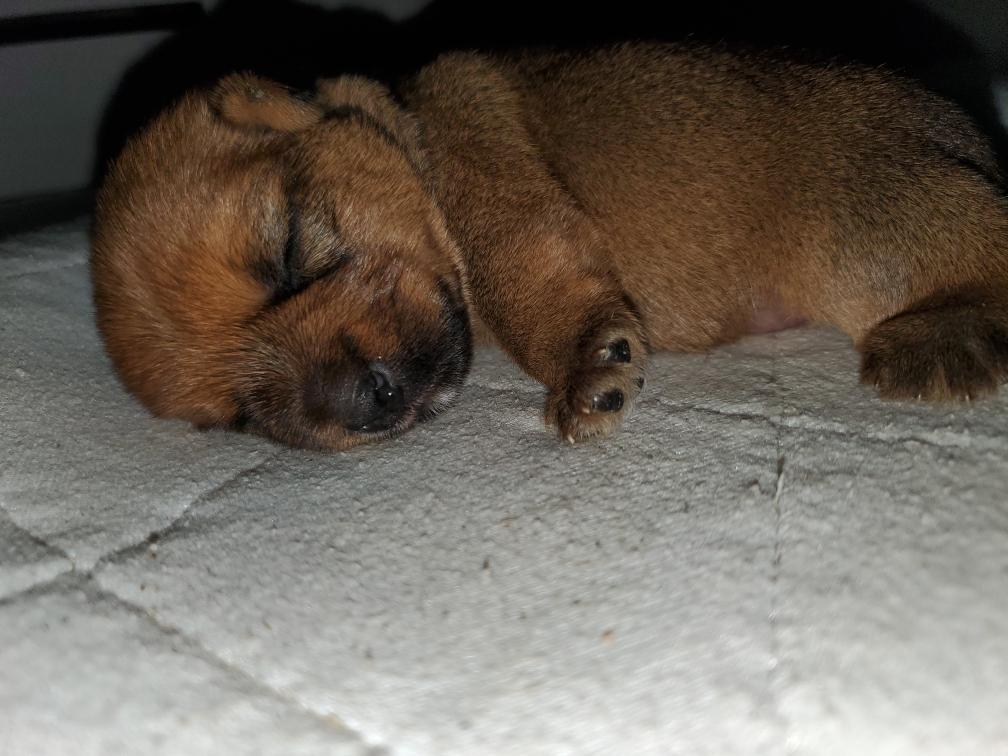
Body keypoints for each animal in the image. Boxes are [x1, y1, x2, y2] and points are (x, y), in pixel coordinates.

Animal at [91, 42, 1008, 450]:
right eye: (240, 417)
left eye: (289, 253)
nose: (364, 404)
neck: (413, 134)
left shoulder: (495, 196)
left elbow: (531, 284)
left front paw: (585, 368)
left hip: (869, 220)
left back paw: (940, 339)